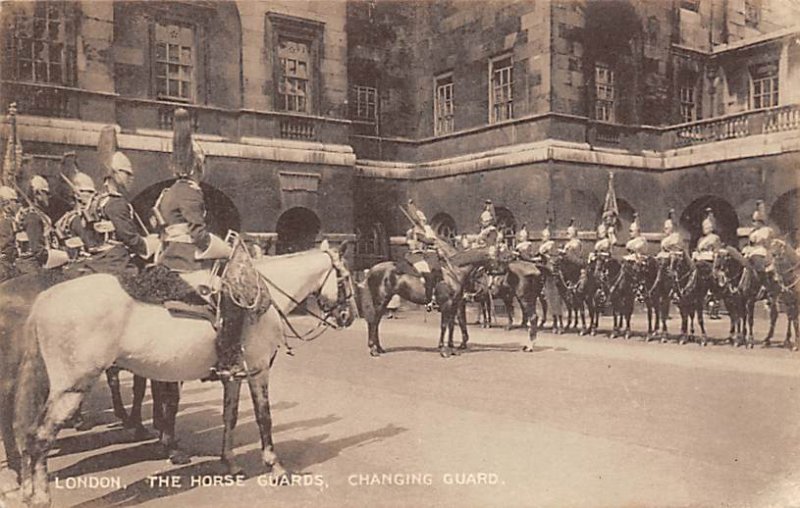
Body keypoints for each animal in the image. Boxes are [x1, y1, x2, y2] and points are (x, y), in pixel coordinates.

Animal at [9, 241, 356, 504]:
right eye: (349, 277)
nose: (349, 316)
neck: (259, 295)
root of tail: (45, 298)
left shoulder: (234, 375)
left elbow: (230, 416)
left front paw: (230, 463)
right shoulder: (258, 371)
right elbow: (264, 418)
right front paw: (276, 468)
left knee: (28, 434)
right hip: (71, 388)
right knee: (40, 437)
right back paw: (40, 496)